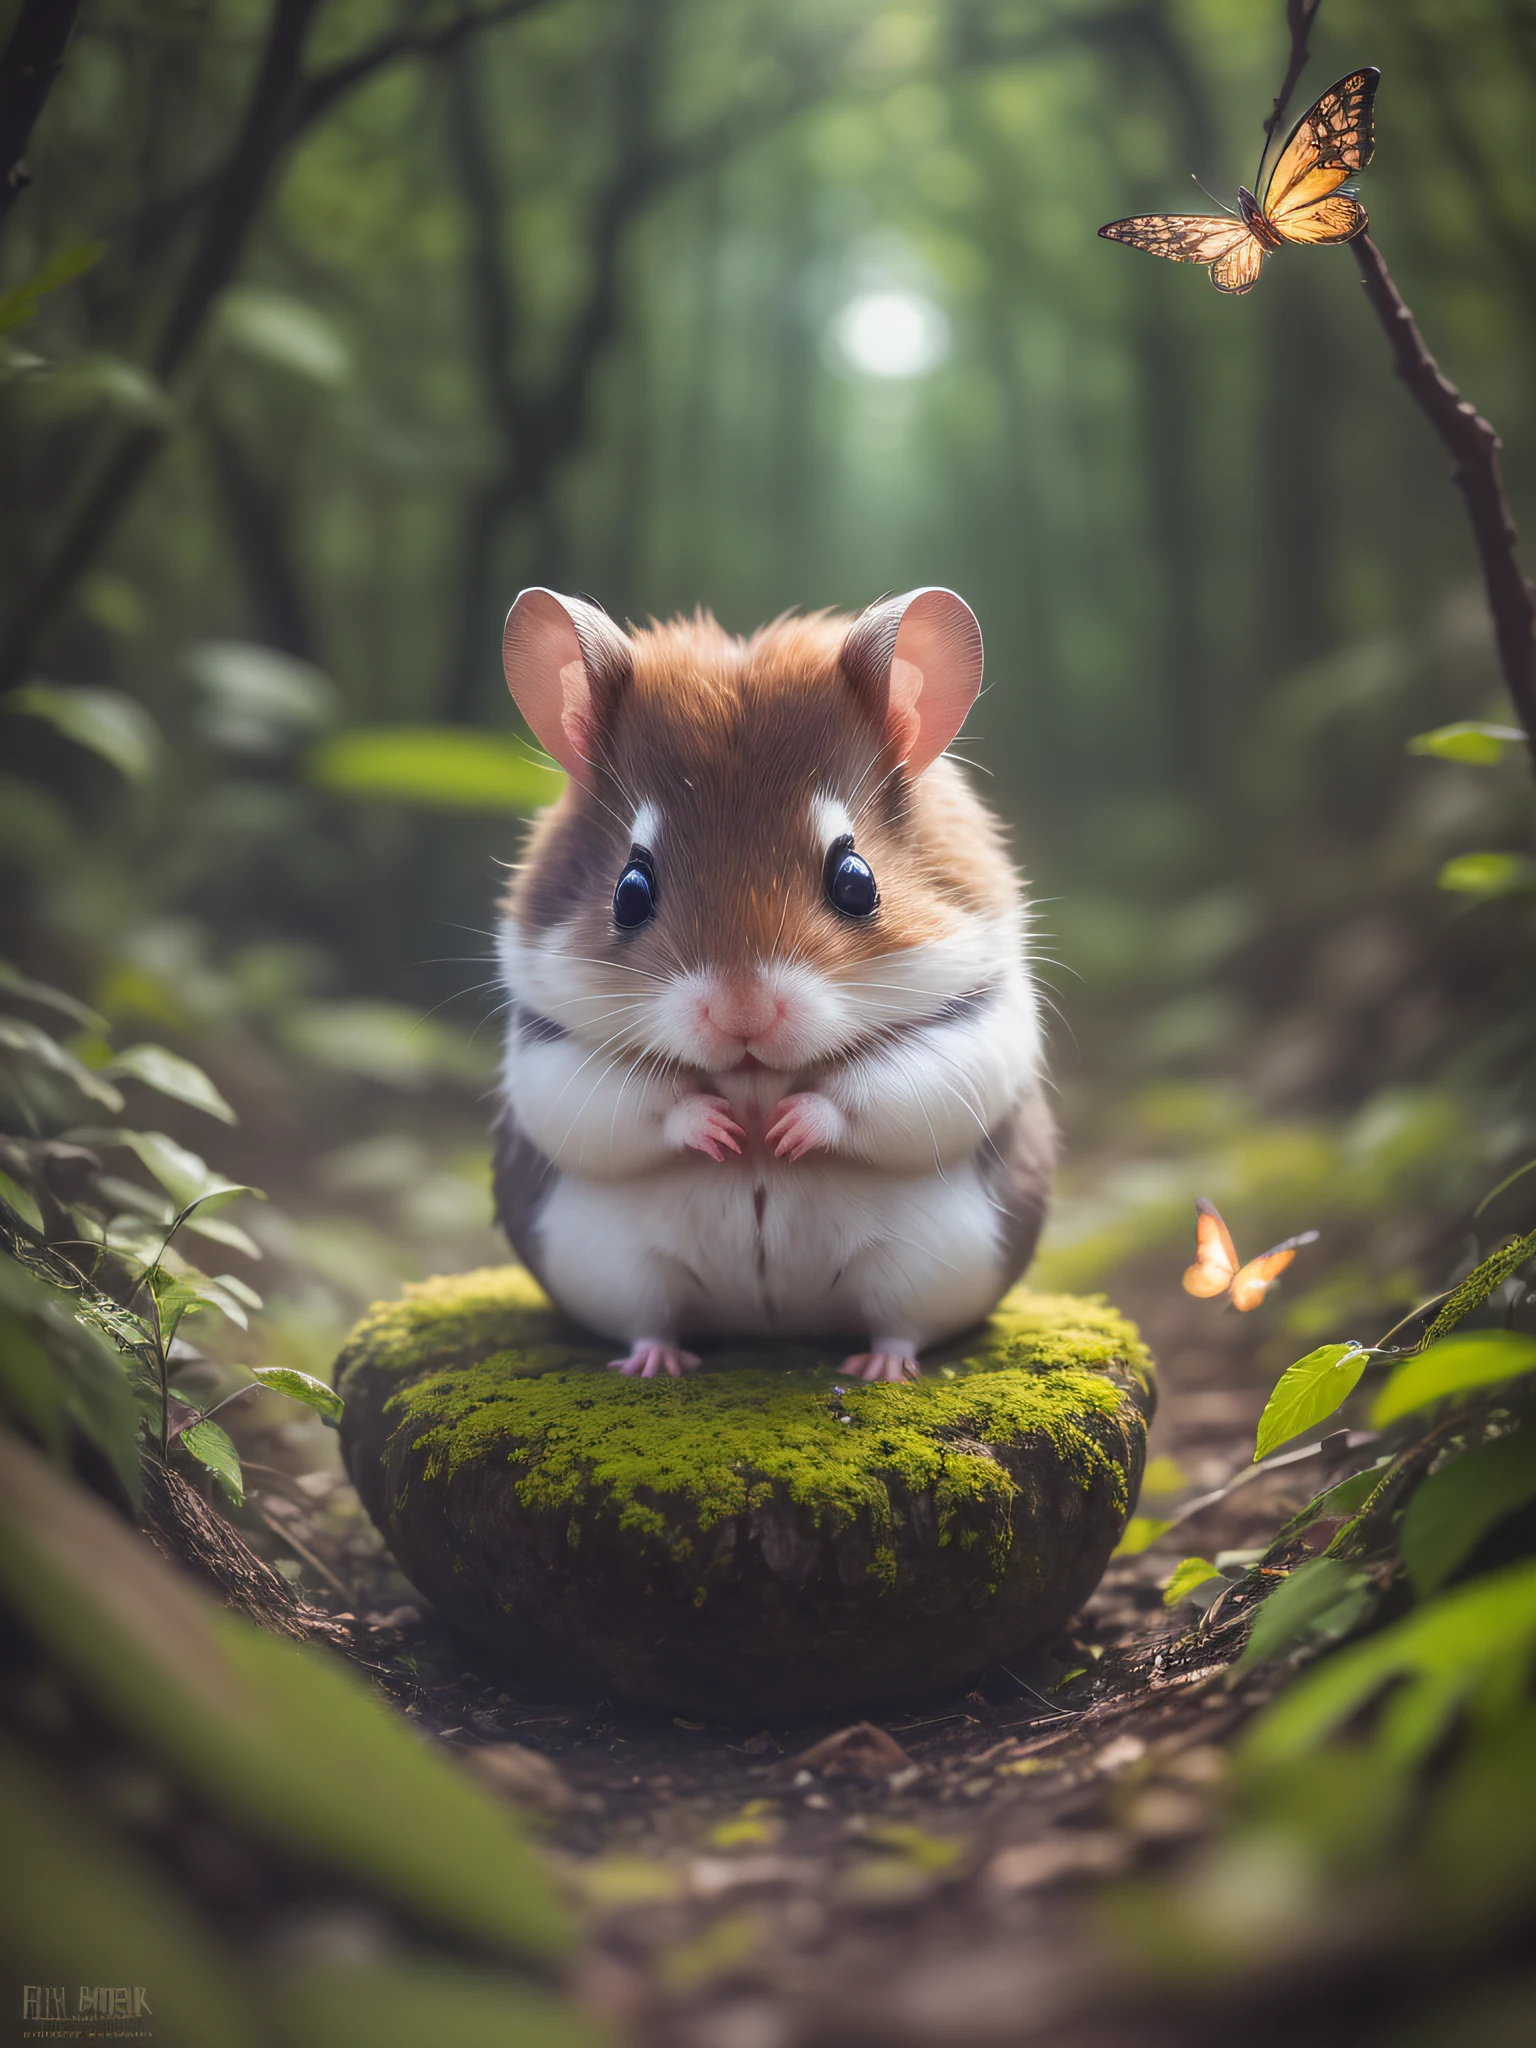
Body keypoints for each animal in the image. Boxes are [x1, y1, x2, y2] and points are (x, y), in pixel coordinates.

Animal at [493, 585, 1056, 1384]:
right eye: (629, 891)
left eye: (856, 880)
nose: (743, 1015)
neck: (753, 1075)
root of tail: (769, 1324)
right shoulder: (547, 1049)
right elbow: (634, 1103)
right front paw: (726, 1130)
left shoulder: (976, 1025)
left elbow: (871, 1091)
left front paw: (784, 1130)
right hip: (619, 1267)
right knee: (649, 1319)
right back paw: (657, 1364)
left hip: (927, 1266)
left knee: (900, 1327)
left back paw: (879, 1369)